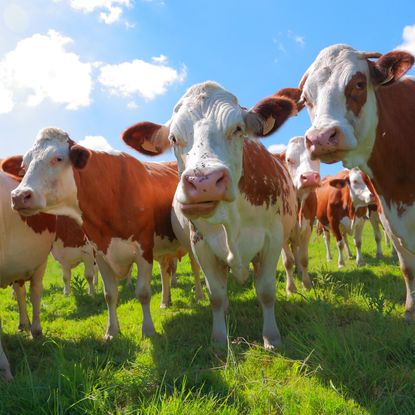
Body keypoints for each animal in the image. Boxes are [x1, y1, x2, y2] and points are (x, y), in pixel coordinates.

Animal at [0, 159, 56, 380]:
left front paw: (4, 369)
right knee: (20, 292)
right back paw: (23, 324)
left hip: (39, 260)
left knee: (35, 292)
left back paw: (35, 329)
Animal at [8, 130, 204, 342]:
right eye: (24, 165)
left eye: (58, 158)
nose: (19, 196)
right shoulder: (101, 253)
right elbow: (109, 294)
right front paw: (111, 331)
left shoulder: (143, 251)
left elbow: (143, 293)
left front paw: (148, 329)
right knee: (165, 271)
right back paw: (165, 301)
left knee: (195, 267)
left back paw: (200, 295)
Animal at [120, 80, 300, 348]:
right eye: (173, 138)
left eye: (238, 129)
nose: (204, 182)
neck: (232, 220)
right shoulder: (202, 246)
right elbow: (215, 294)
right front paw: (219, 339)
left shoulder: (272, 239)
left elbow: (266, 292)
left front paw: (271, 337)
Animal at [272, 135, 322, 294]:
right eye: (289, 159)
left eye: (315, 156)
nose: (310, 177)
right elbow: (288, 261)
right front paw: (291, 288)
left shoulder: (308, 228)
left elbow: (304, 258)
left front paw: (306, 284)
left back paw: (299, 271)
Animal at [300, 43, 415, 322]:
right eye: (306, 99)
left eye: (360, 84)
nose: (320, 138)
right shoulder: (387, 218)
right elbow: (407, 268)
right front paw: (410, 311)